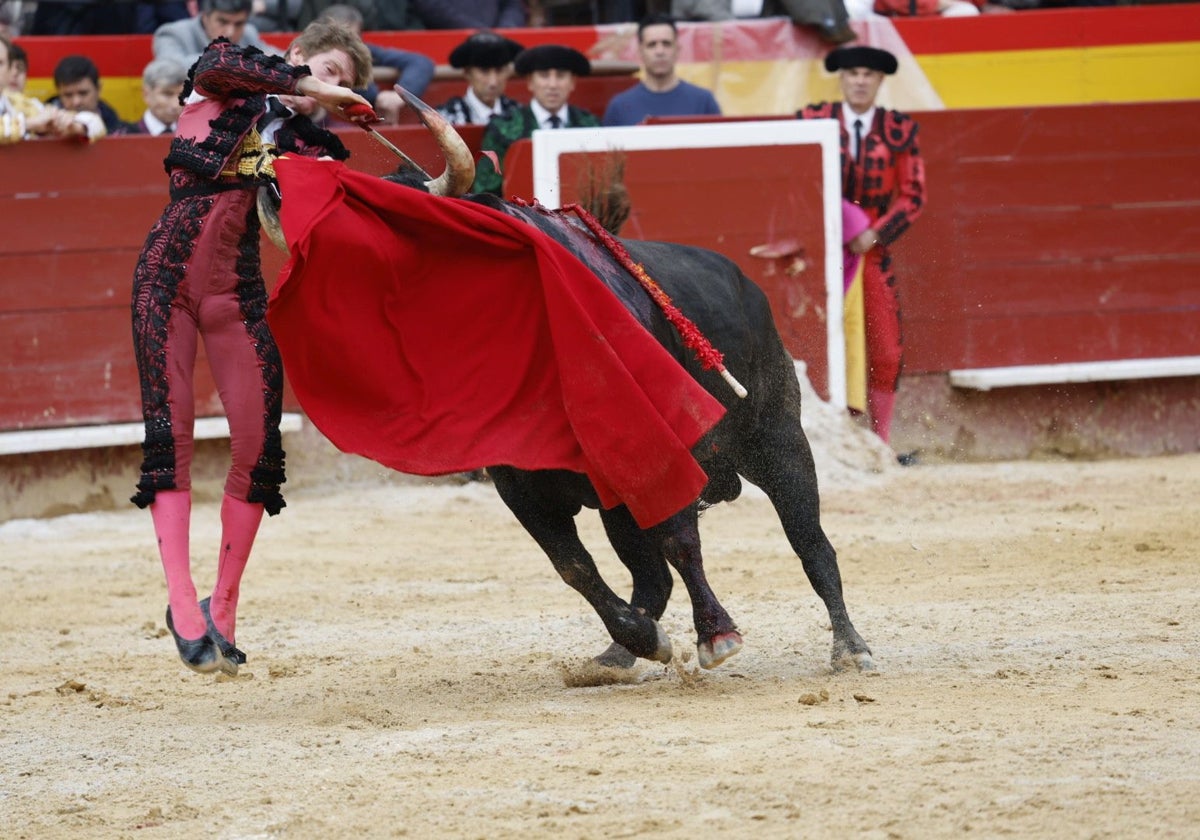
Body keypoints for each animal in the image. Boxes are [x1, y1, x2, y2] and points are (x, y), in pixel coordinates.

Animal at [258, 88, 873, 672]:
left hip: (777, 440)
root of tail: (748, 285)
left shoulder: (655, 457)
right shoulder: (520, 484)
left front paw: (716, 637)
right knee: (650, 575)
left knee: (812, 545)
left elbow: (679, 541)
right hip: (621, 505)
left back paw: (850, 648)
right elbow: (573, 566)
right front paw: (642, 640)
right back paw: (617, 657)